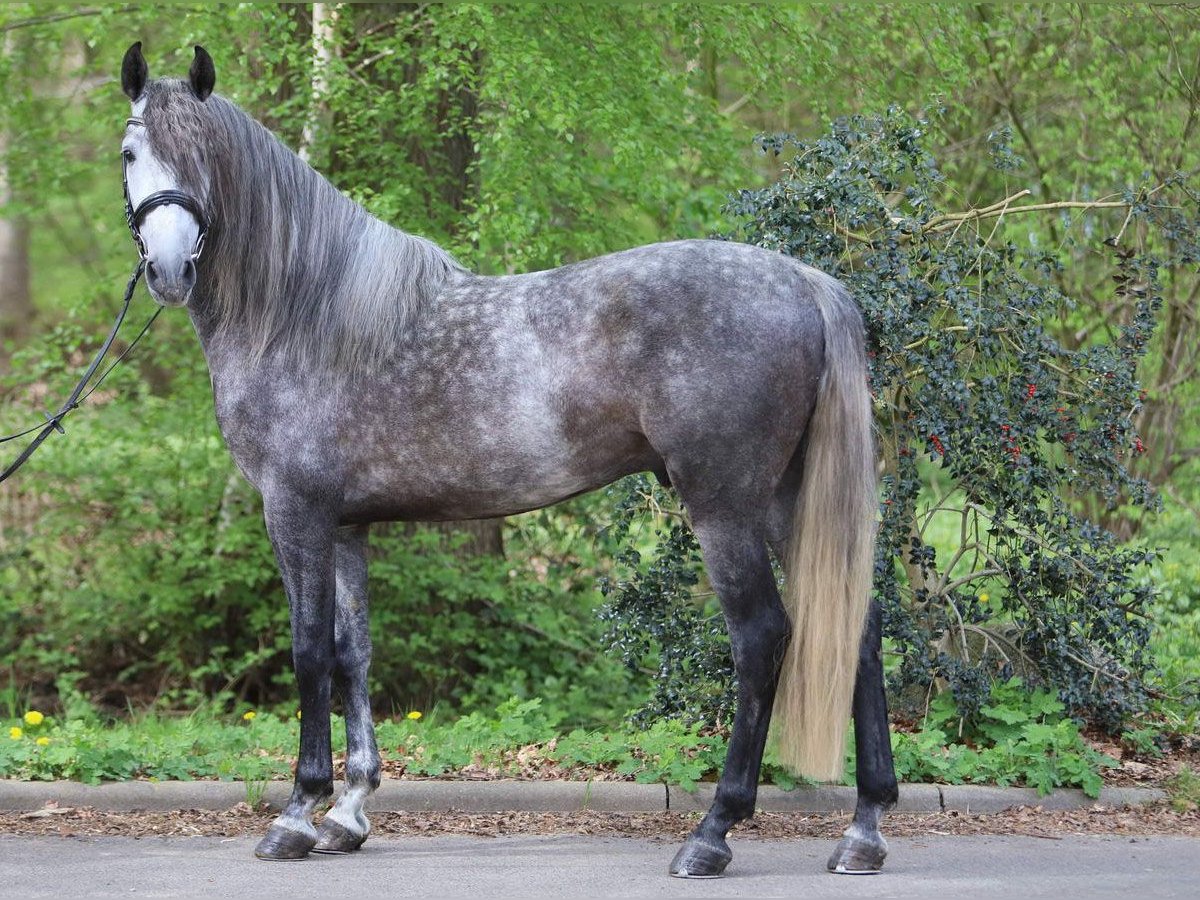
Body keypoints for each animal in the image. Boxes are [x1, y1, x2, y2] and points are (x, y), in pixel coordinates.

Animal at [116, 42, 898, 876]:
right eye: (131, 152)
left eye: (204, 154)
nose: (168, 270)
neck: (308, 316)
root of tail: (806, 283)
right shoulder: (347, 526)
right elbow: (352, 653)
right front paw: (349, 813)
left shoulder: (295, 514)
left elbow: (308, 653)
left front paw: (298, 813)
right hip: (785, 500)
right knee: (859, 622)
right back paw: (863, 831)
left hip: (724, 507)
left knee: (761, 638)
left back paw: (712, 832)